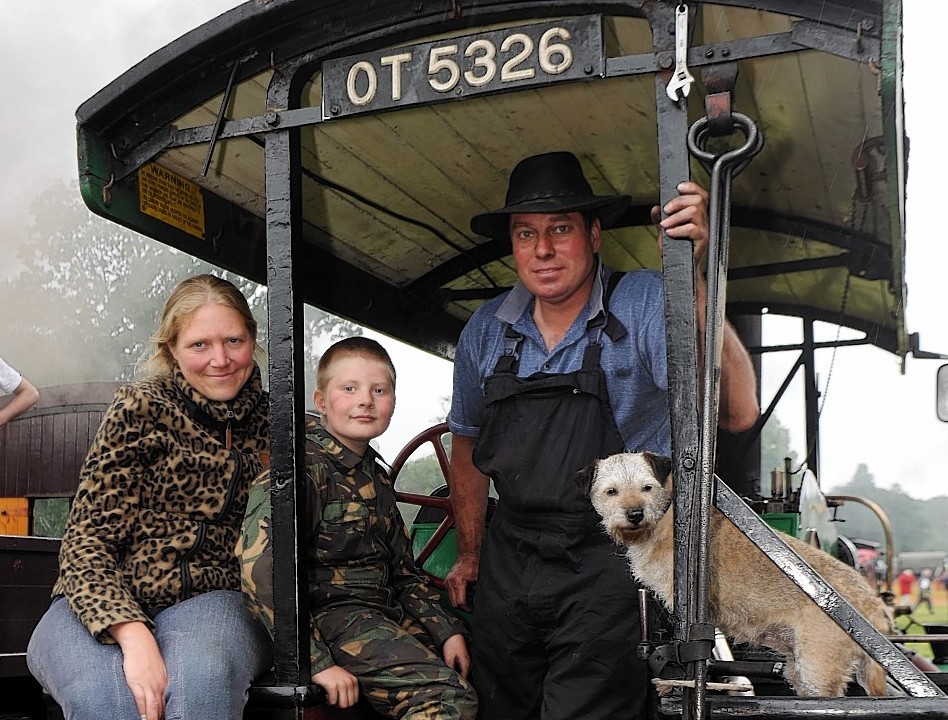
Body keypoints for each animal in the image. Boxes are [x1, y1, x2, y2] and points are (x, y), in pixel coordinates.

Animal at [576, 450, 896, 696]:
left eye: (647, 488)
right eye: (611, 491)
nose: (634, 514)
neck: (668, 514)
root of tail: (874, 607)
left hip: (817, 669)